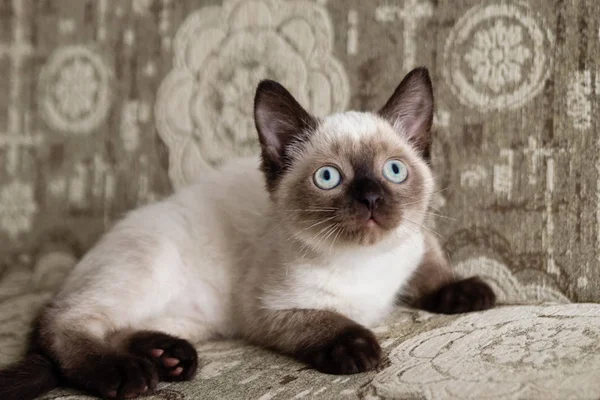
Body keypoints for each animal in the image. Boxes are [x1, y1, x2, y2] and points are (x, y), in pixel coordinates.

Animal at [0, 67, 494, 398]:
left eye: (394, 171)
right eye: (329, 178)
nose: (371, 198)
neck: (367, 264)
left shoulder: (415, 241)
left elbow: (432, 270)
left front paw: (469, 293)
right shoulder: (267, 310)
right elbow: (326, 321)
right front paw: (359, 347)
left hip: (192, 316)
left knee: (113, 325)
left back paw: (168, 358)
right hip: (153, 268)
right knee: (60, 322)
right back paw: (130, 374)